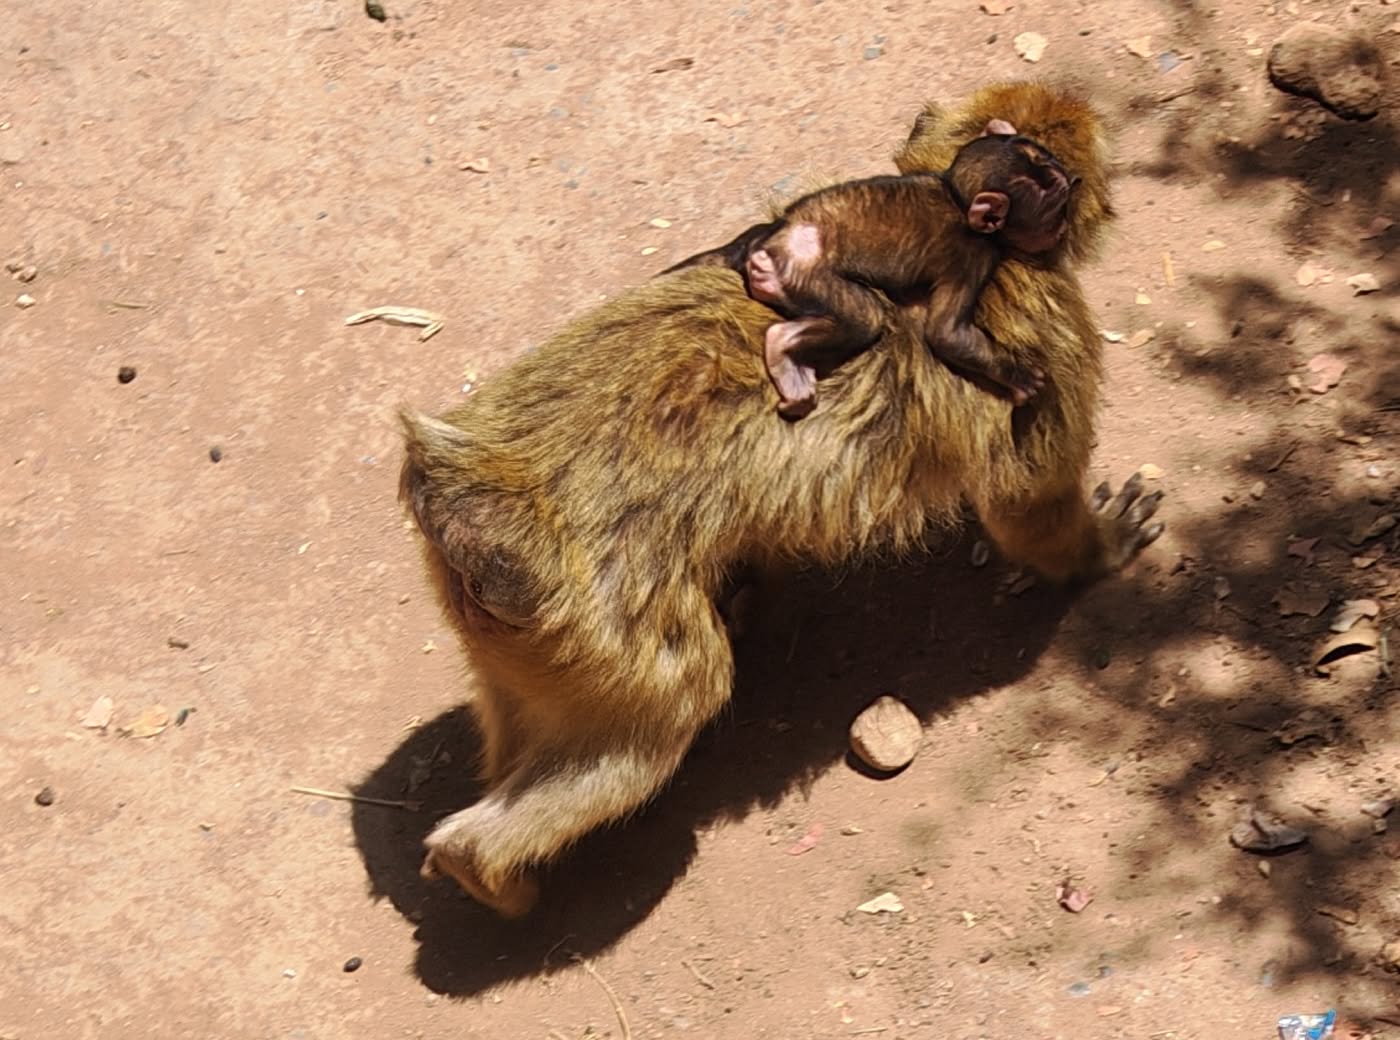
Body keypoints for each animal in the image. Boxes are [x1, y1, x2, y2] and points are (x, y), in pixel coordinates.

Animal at [665, 121, 1075, 420]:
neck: (955, 195)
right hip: (799, 274)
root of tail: (770, 240)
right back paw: (782, 347)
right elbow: (946, 333)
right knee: (862, 316)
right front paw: (1020, 376)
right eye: (1056, 208)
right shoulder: (973, 258)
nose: (1063, 228)